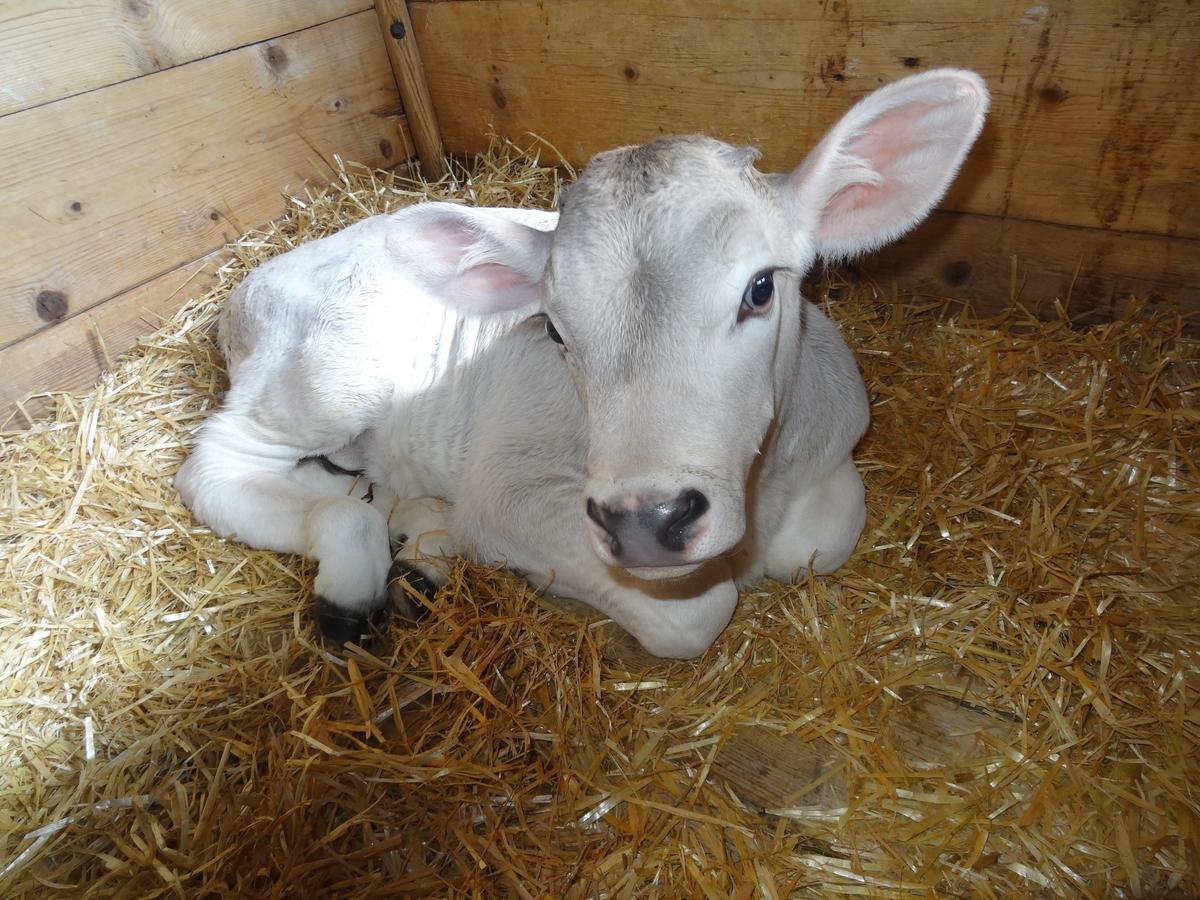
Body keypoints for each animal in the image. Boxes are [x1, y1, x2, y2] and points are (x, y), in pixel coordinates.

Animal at [175, 68, 984, 657]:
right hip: (332, 376)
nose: (647, 521)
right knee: (222, 465)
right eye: (556, 330)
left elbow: (824, 535)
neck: (761, 496)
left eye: (760, 289)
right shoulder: (511, 488)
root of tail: (247, 284)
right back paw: (355, 581)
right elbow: (694, 616)